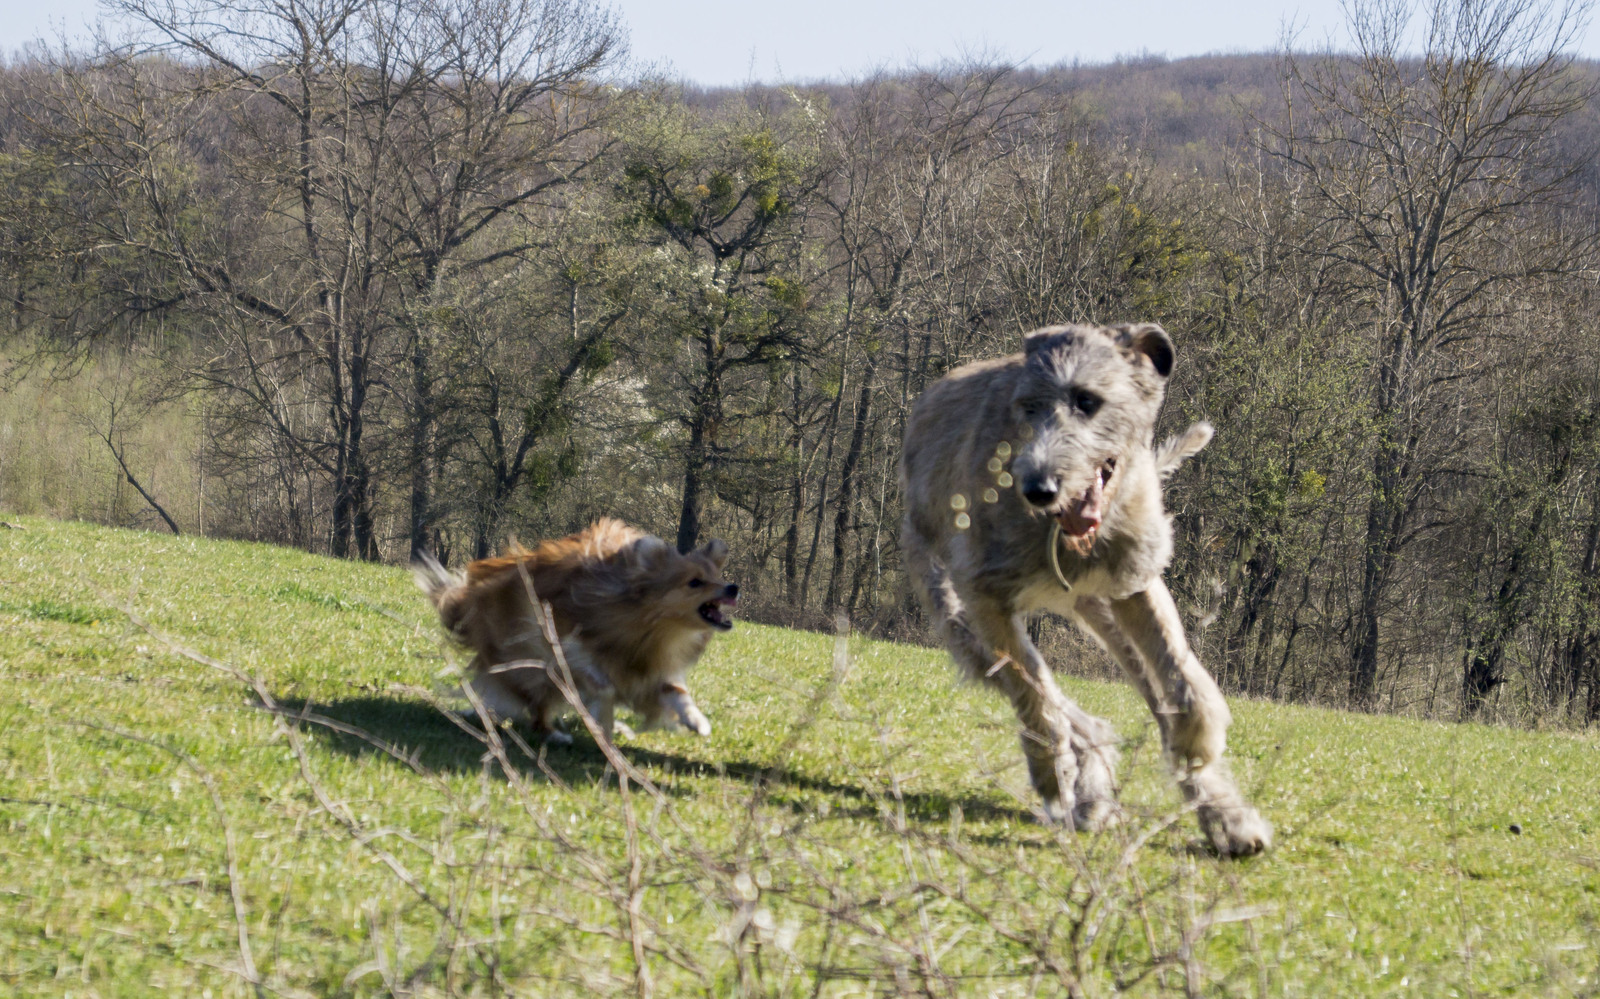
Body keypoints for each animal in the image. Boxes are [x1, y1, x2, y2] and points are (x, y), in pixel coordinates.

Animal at [412, 521, 736, 742]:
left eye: (717, 577)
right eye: (695, 582)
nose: (733, 587)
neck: (648, 627)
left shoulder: (654, 670)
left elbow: (677, 693)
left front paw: (696, 720)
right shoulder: (566, 646)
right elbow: (601, 685)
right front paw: (603, 725)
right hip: (532, 669)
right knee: (539, 705)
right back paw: (554, 733)